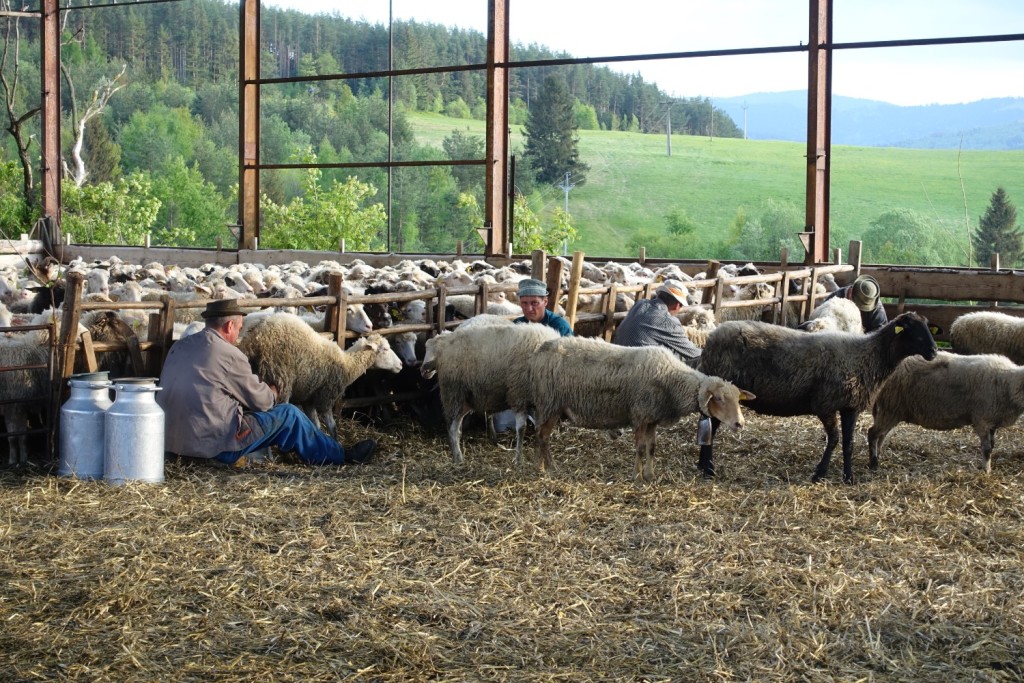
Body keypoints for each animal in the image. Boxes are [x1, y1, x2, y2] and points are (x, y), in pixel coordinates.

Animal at [237, 313, 401, 440]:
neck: (346, 364)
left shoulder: (308, 397)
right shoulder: (326, 396)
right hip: (279, 380)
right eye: (385, 349)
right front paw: (335, 442)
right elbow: (332, 426)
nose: (400, 364)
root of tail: (253, 340)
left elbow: (316, 425)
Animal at [528, 337, 753, 481]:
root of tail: (541, 348)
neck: (671, 380)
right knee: (542, 437)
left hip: (551, 406)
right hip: (550, 403)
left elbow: (651, 448)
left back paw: (543, 467)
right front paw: (637, 476)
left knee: (541, 436)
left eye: (738, 400)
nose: (739, 424)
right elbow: (638, 448)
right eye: (719, 398)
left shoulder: (652, 418)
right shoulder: (640, 415)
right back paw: (547, 468)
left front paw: (650, 475)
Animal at [696, 313, 937, 483]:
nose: (934, 351)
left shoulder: (850, 406)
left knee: (707, 425)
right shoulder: (825, 403)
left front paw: (848, 478)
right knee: (712, 426)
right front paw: (819, 474)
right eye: (911, 329)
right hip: (723, 394)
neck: (868, 356)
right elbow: (834, 439)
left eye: (928, 327)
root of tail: (710, 340)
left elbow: (848, 443)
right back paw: (708, 469)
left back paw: (702, 465)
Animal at [868, 352, 1024, 475]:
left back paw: (878, 456)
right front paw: (986, 470)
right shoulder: (982, 420)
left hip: (892, 410)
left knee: (881, 436)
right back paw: (873, 463)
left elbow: (992, 445)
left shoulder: (992, 422)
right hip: (890, 408)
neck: (1008, 383)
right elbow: (987, 449)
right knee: (873, 433)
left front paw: (986, 468)